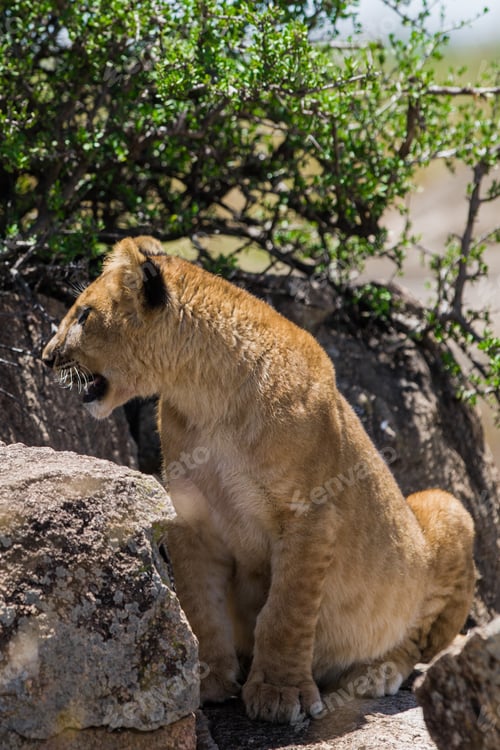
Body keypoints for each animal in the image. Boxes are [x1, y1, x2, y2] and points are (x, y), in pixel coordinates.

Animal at [42, 236, 475, 724]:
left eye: (83, 314)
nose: (45, 357)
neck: (204, 396)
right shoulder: (192, 519)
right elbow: (200, 603)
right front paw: (207, 681)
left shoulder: (310, 515)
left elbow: (285, 611)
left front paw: (279, 693)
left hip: (448, 508)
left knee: (417, 645)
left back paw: (374, 672)